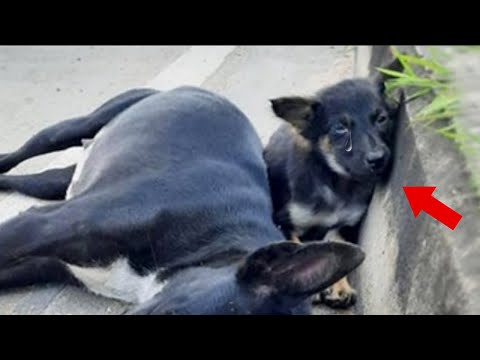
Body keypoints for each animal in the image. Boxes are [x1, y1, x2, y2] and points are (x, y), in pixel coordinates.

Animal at [0, 86, 364, 314]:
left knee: (36, 180)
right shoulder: (40, 227)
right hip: (82, 125)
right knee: (37, 145)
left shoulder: (45, 263)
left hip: (59, 180)